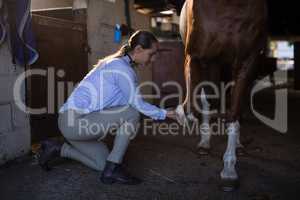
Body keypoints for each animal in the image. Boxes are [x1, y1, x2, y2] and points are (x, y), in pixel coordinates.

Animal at [176, 0, 268, 191]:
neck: (229, 6)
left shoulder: (246, 62)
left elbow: (234, 113)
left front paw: (229, 170)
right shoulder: (196, 57)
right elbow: (195, 103)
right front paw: (187, 118)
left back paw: (238, 145)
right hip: (213, 64)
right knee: (208, 99)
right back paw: (204, 143)